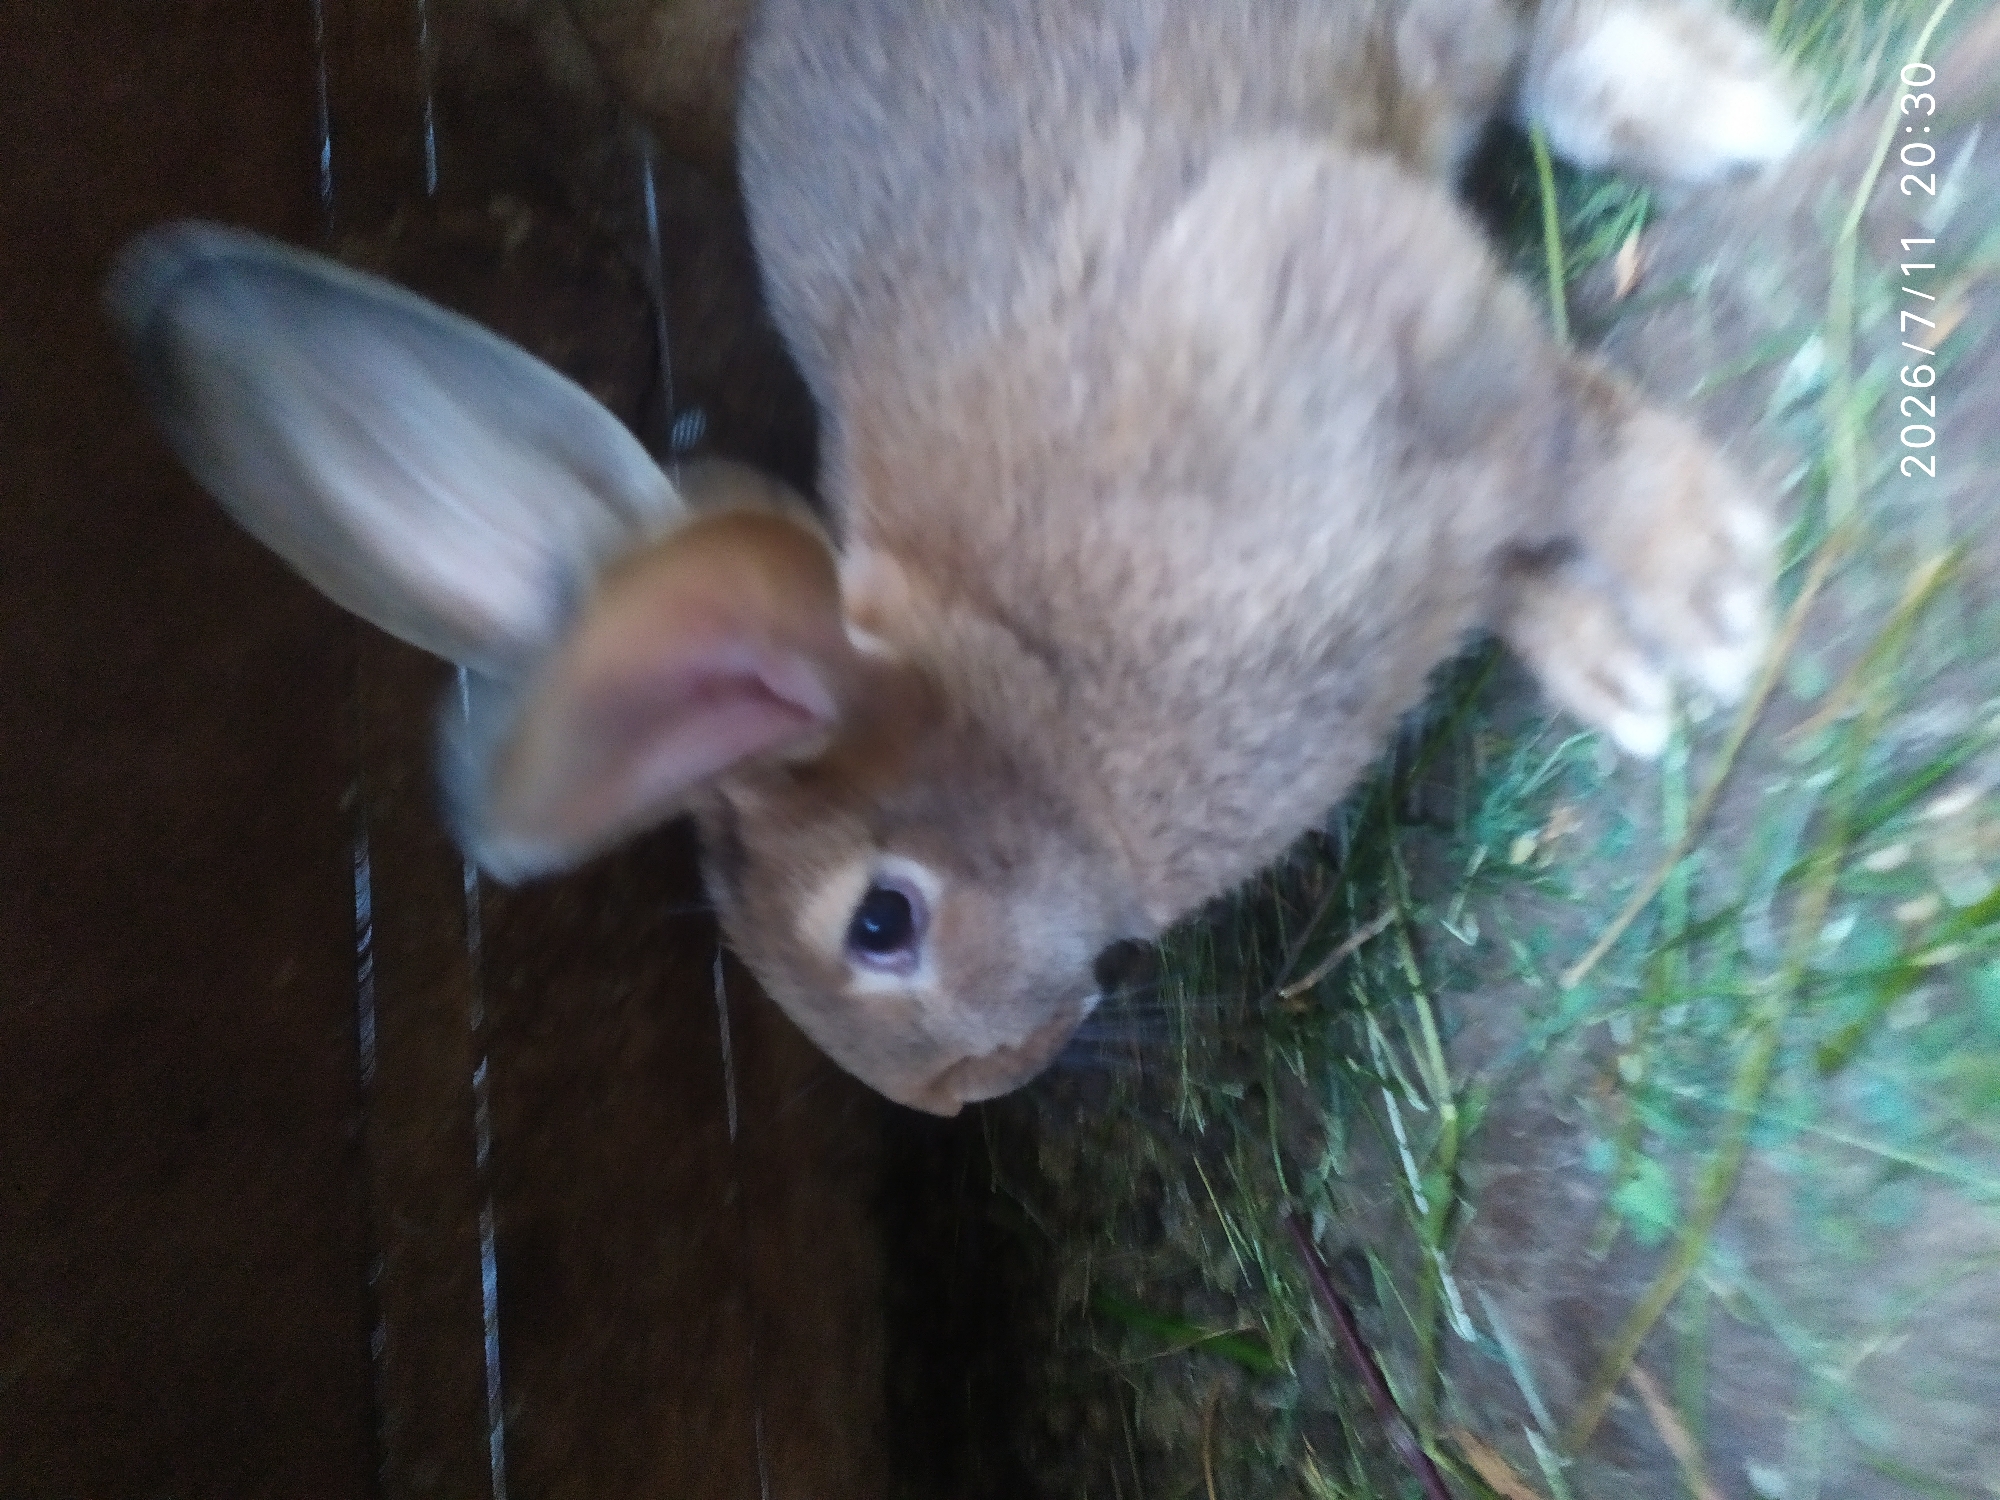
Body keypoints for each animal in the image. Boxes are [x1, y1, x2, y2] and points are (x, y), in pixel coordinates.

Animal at [109, 0, 1797, 1115]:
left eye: (881, 925)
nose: (967, 1095)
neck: (1029, 697)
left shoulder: (1325, 291)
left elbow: (1551, 433)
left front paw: (1705, 596)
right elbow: (1506, 528)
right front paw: (1615, 660)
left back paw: (1719, 105)